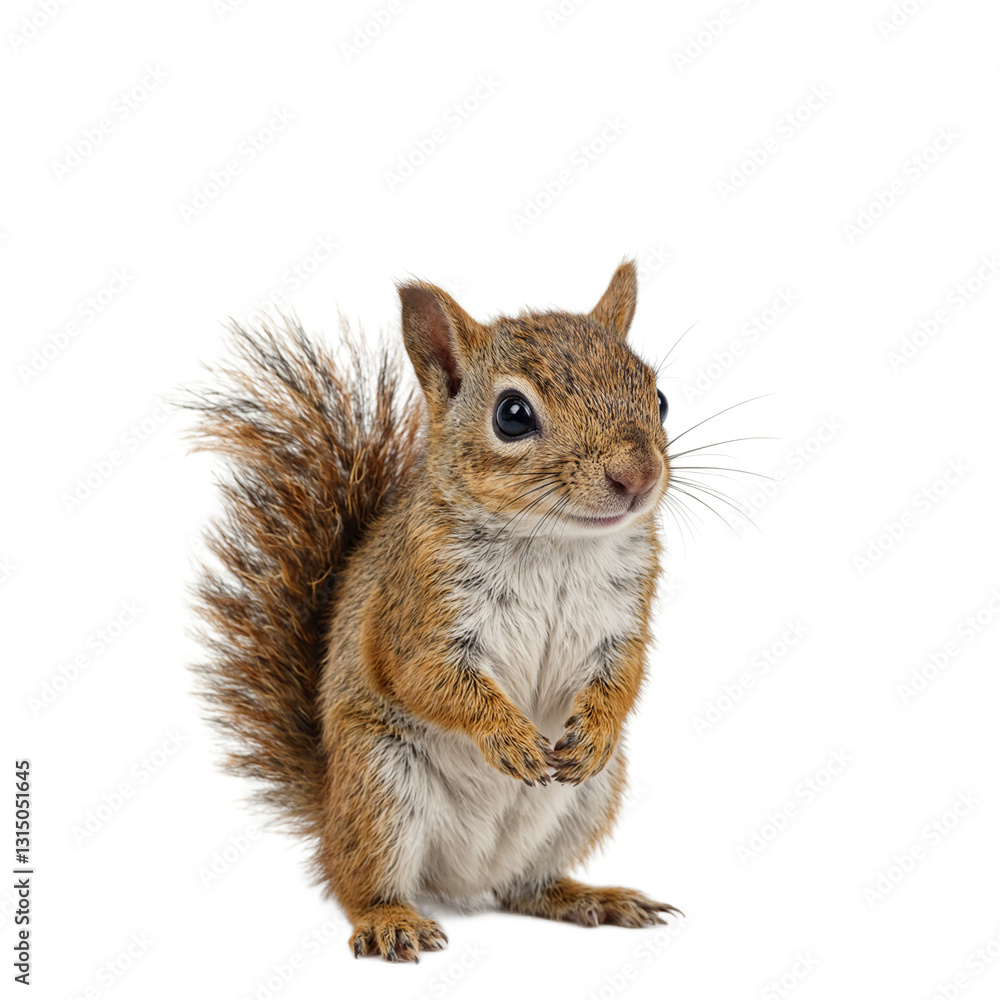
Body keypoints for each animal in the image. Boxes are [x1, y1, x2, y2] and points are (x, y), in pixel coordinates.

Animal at [186, 261, 681, 962]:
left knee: (525, 887)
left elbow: (626, 674)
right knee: (357, 882)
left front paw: (597, 728)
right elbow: (427, 678)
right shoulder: (415, 609)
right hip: (381, 788)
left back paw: (588, 898)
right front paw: (508, 738)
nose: (637, 476)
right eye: (512, 415)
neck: (555, 543)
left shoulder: (623, 617)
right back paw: (390, 919)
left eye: (659, 399)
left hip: (588, 798)